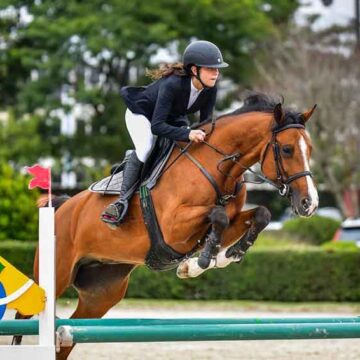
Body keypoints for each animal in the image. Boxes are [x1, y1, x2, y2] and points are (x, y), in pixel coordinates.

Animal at [14, 92, 320, 358]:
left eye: (310, 150)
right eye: (287, 149)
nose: (310, 203)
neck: (217, 167)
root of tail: (63, 206)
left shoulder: (223, 223)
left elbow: (260, 215)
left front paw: (224, 256)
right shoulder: (174, 227)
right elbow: (218, 216)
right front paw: (203, 261)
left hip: (101, 292)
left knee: (68, 334)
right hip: (57, 274)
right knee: (25, 316)